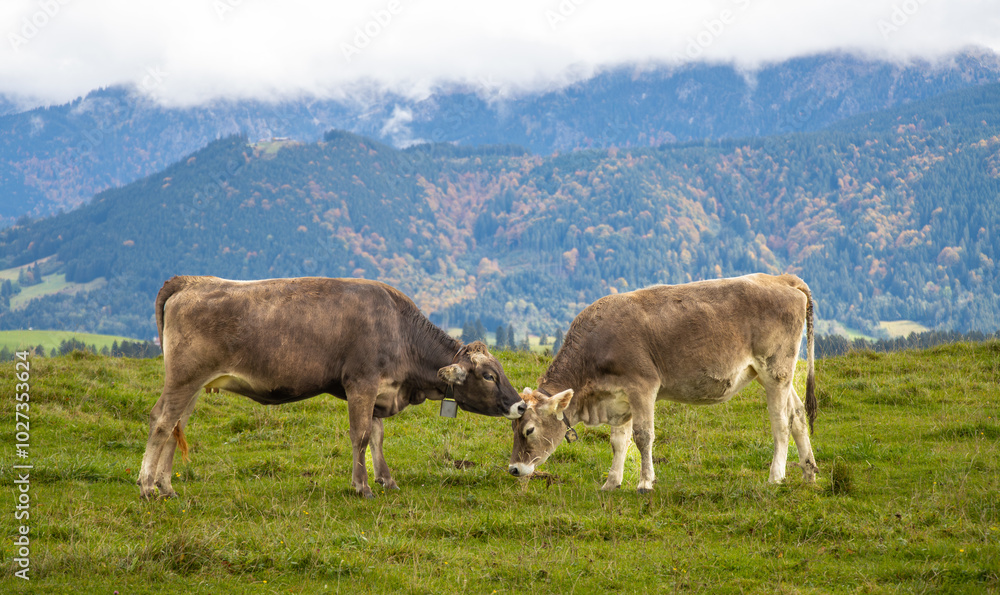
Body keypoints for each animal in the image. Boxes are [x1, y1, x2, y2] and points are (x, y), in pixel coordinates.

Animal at [138, 276, 526, 499]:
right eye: (488, 376)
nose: (520, 405)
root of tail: (189, 281)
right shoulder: (361, 383)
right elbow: (361, 436)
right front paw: (362, 486)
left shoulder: (380, 392)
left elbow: (378, 437)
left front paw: (387, 480)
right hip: (185, 377)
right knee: (161, 421)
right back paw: (147, 486)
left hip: (194, 384)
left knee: (176, 427)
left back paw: (167, 487)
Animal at [508, 273, 817, 492]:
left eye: (529, 430)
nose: (513, 469)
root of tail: (781, 278)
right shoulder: (618, 397)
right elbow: (618, 441)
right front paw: (611, 482)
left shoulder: (643, 386)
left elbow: (643, 436)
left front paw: (645, 483)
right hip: (777, 374)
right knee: (798, 414)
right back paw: (809, 472)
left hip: (775, 369)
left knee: (781, 422)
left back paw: (776, 476)